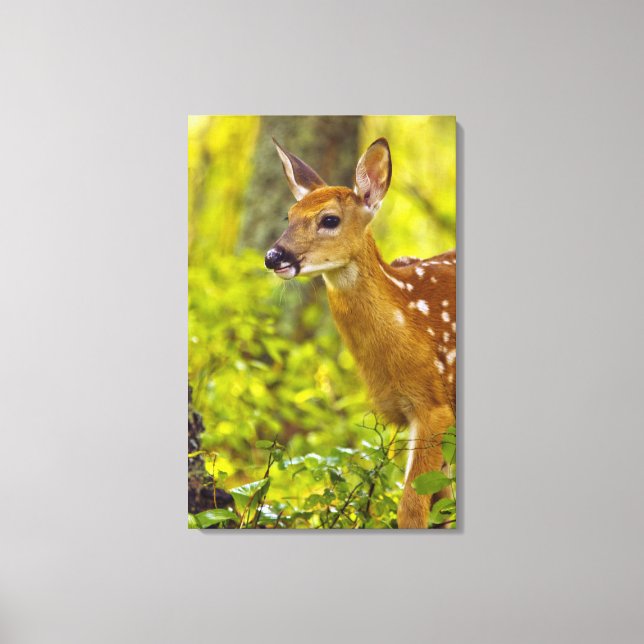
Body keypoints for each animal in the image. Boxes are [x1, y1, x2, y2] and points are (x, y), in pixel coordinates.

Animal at [264, 137, 456, 529]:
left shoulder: (434, 407)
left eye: (329, 219)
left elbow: (411, 508)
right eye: (289, 216)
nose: (273, 256)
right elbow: (442, 508)